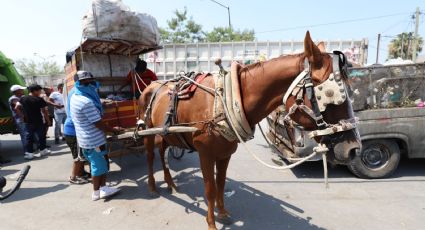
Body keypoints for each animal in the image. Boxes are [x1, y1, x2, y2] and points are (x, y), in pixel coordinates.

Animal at [137, 31, 360, 230]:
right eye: (330, 95)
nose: (353, 149)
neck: (223, 101)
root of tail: (152, 85)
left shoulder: (225, 153)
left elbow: (221, 184)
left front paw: (223, 213)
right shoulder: (205, 153)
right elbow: (210, 189)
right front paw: (211, 223)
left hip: (165, 133)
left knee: (162, 151)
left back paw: (170, 184)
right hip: (146, 130)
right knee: (150, 156)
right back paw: (152, 187)